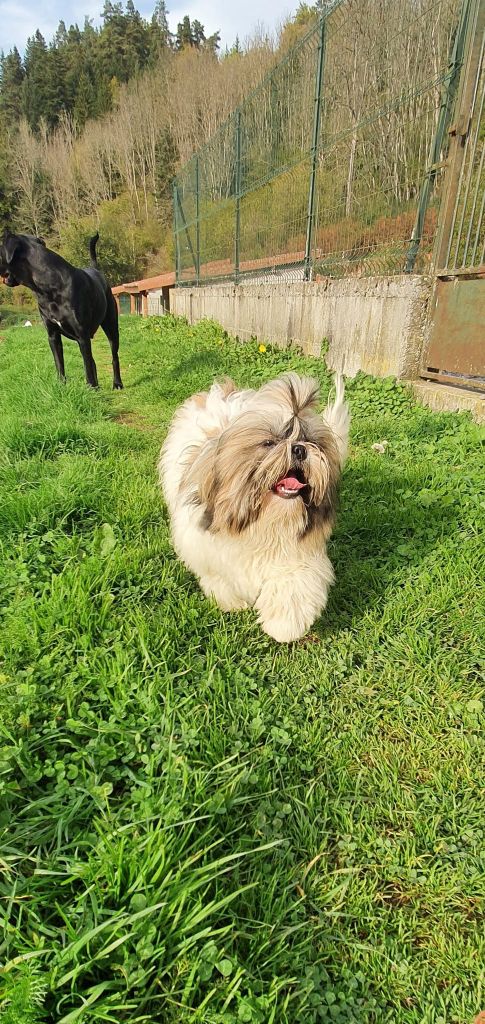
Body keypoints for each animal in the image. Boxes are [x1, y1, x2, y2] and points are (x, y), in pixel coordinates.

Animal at [0, 230, 123, 389]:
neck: (47, 288)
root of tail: (96, 269)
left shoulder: (82, 335)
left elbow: (87, 366)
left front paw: (90, 387)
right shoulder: (53, 335)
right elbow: (59, 363)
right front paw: (61, 386)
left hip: (111, 325)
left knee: (113, 356)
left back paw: (117, 383)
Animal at [160, 368, 349, 638]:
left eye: (312, 442)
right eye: (269, 443)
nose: (300, 449)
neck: (264, 523)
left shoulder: (298, 554)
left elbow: (295, 585)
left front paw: (284, 626)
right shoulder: (206, 549)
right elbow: (219, 577)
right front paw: (233, 603)